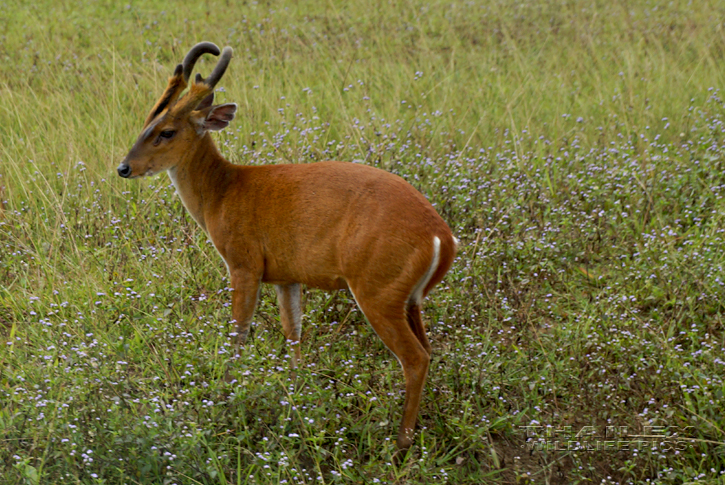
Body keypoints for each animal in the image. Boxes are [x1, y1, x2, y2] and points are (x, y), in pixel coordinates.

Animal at [119, 41, 458, 450]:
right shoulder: (286, 277)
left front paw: (228, 395)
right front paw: (298, 397)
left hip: (377, 290)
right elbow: (293, 333)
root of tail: (441, 237)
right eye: (145, 122)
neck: (223, 192)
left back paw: (401, 443)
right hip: (410, 299)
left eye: (166, 131)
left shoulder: (244, 264)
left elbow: (239, 334)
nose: (124, 167)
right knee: (429, 351)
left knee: (415, 358)